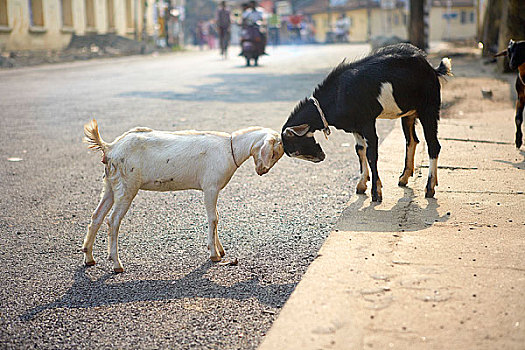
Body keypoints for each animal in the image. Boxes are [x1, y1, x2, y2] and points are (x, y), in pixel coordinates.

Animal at [81, 120, 282, 274]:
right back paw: (117, 264)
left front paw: (220, 250)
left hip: (110, 184)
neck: (230, 147)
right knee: (113, 220)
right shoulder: (210, 187)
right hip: (127, 186)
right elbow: (213, 218)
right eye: (274, 152)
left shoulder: (212, 189)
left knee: (97, 216)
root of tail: (110, 148)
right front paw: (214, 255)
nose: (262, 171)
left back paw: (89, 257)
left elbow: (216, 216)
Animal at [282, 43, 450, 201]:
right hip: (408, 113)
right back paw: (403, 178)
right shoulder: (354, 126)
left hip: (429, 108)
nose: (321, 157)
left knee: (433, 145)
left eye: (296, 150)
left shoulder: (367, 122)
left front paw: (376, 193)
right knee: (412, 141)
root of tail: (432, 69)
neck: (338, 94)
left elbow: (371, 153)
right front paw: (362, 185)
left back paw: (429, 188)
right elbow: (360, 150)